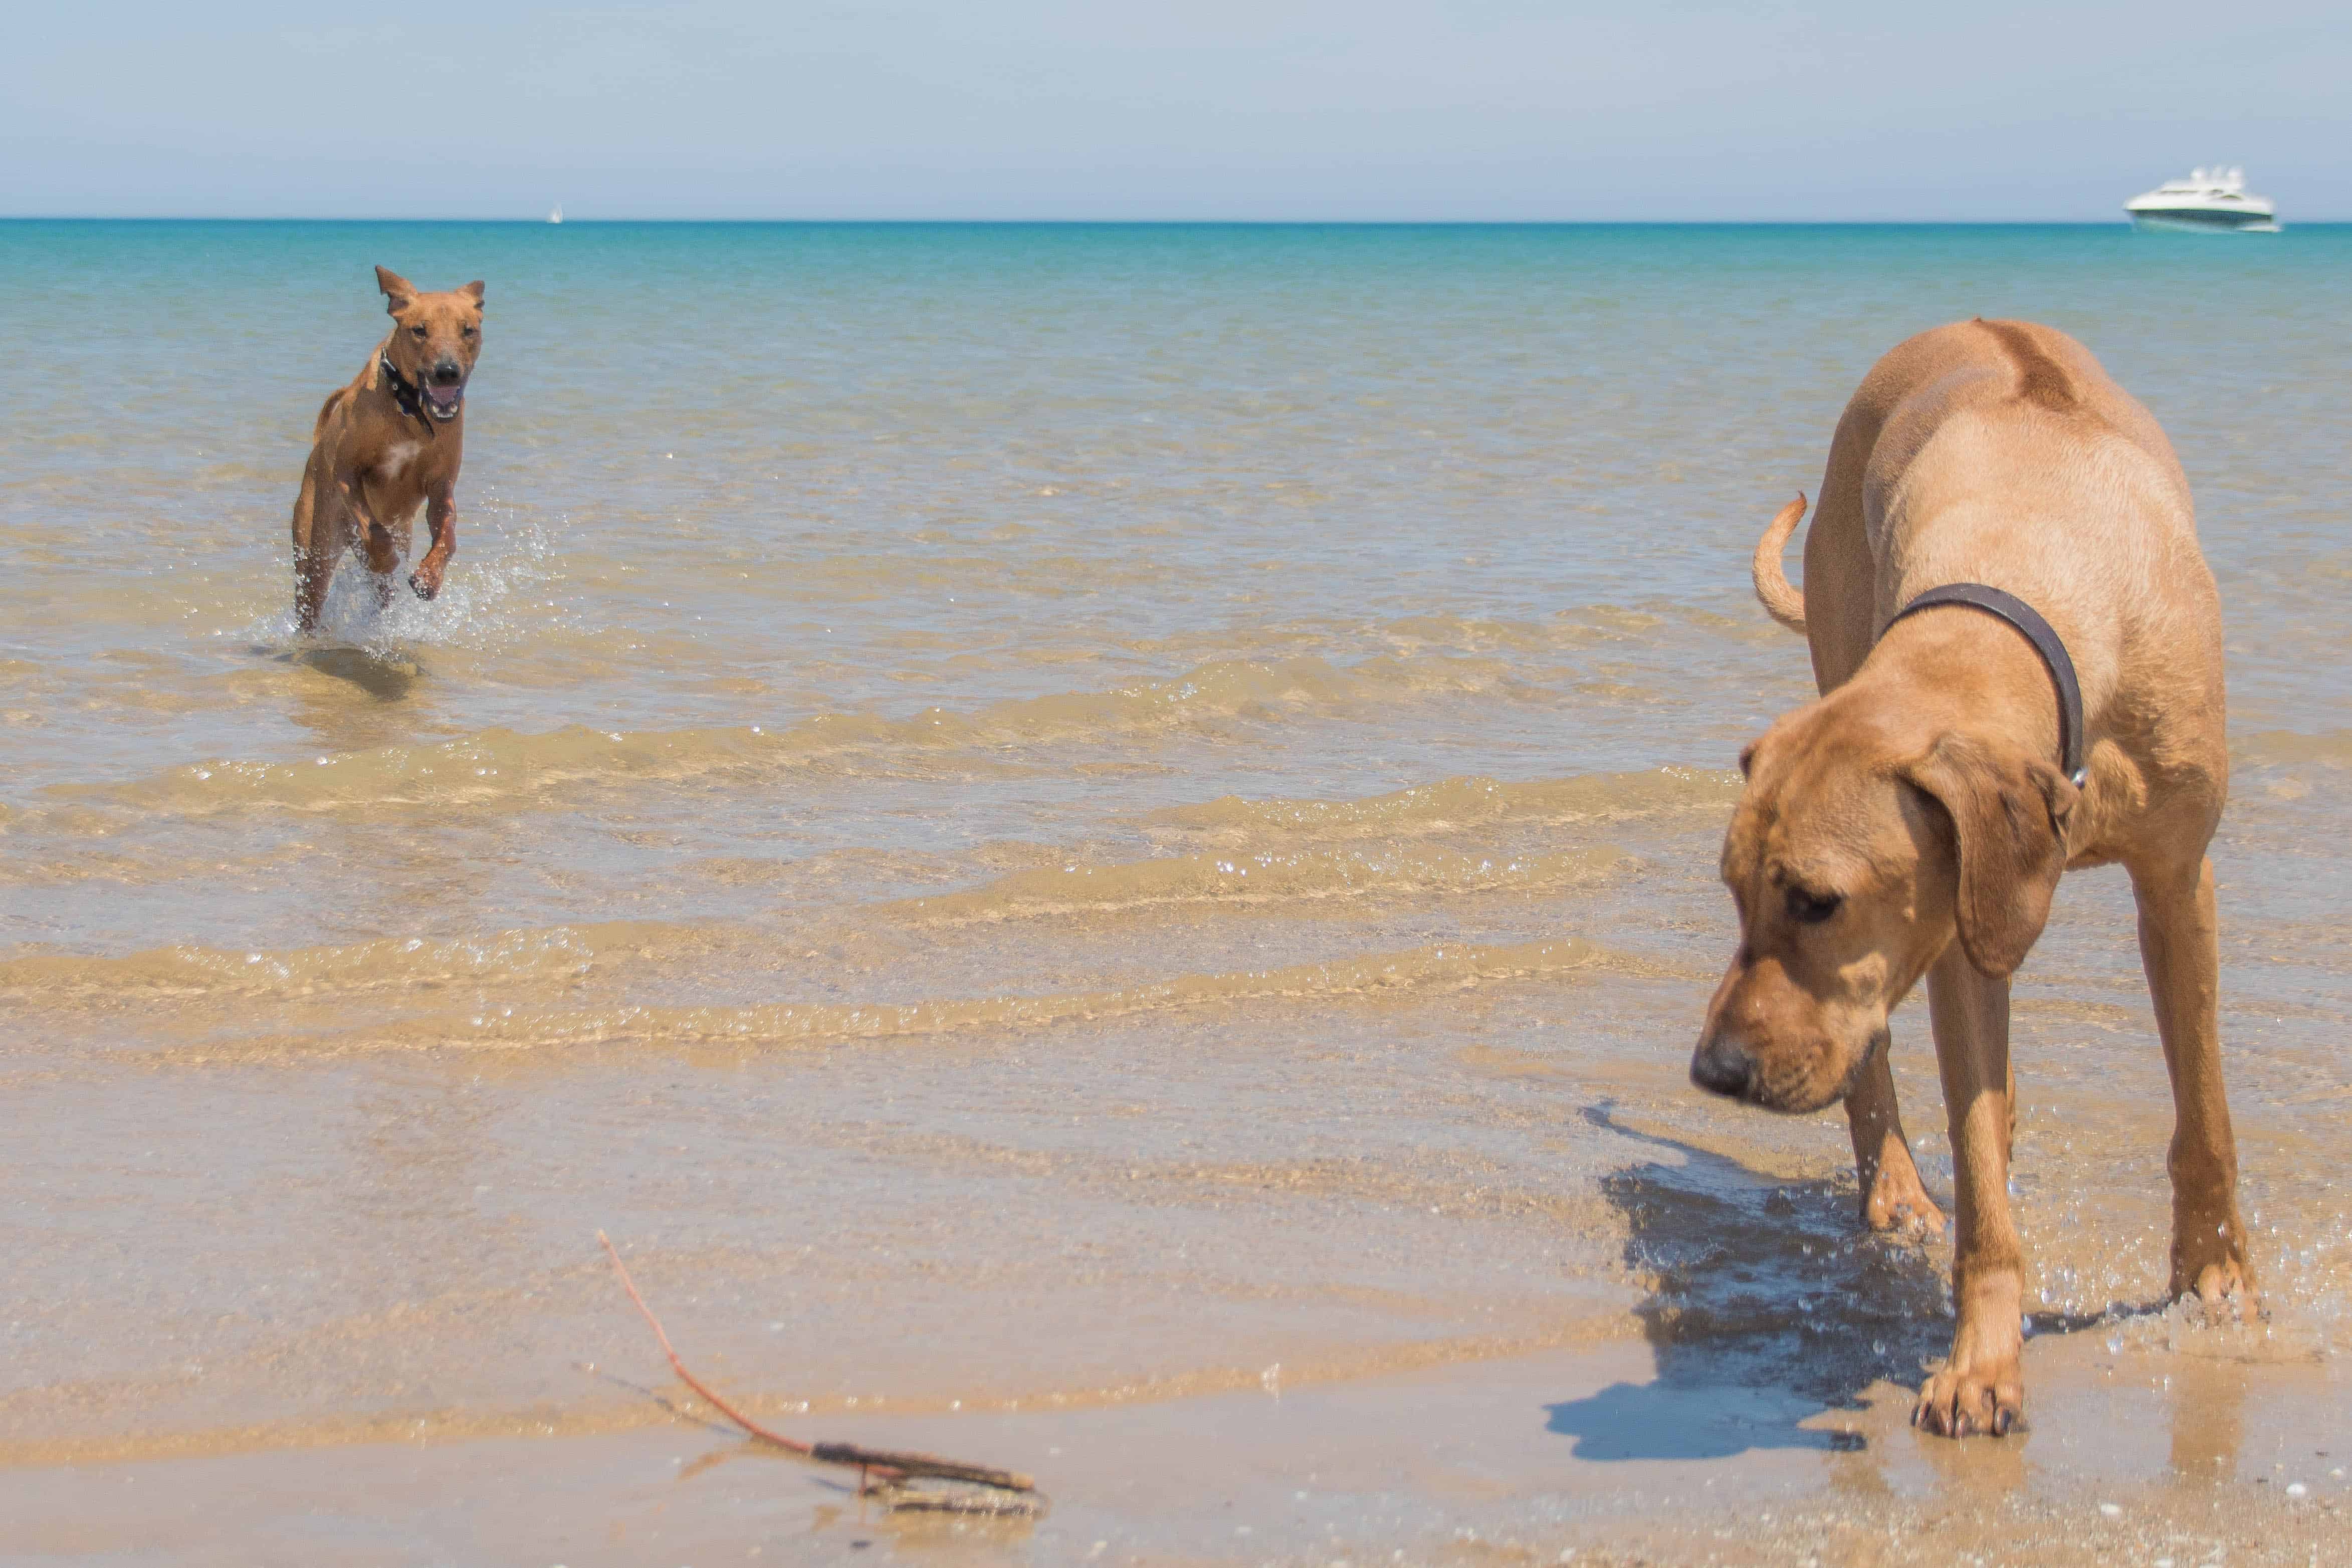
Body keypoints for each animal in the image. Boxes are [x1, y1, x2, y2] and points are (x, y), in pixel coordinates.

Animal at [289, 267, 482, 634]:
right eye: (419, 330)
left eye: (469, 330)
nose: (447, 371)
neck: (409, 408)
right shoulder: (347, 472)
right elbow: (374, 530)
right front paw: (385, 559)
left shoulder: (441, 485)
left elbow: (448, 534)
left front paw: (429, 578)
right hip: (315, 545)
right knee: (312, 595)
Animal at [1693, 319, 2258, 1438]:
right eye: (1734, 894)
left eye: (1817, 901)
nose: (1714, 1072)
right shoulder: (1951, 925)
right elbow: (1981, 1173)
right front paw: (1982, 1360)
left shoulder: (2179, 880)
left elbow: (2204, 1104)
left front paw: (2215, 1269)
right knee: (1883, 1062)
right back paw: (1897, 1188)